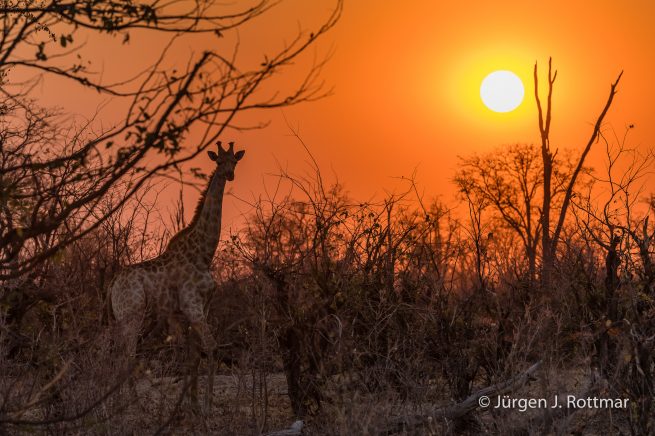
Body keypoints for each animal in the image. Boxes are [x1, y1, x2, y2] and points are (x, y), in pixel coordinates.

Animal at [110, 141, 245, 357]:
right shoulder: (191, 305)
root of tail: (113, 283)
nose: (229, 174)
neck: (203, 254)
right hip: (132, 313)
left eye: (234, 161)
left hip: (122, 316)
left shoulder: (201, 306)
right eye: (219, 161)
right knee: (128, 352)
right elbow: (211, 346)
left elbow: (194, 350)